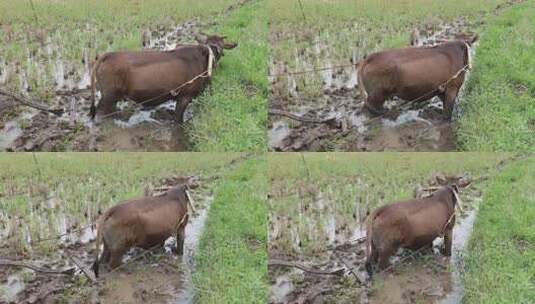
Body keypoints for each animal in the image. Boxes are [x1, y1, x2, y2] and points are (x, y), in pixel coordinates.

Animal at [89, 34, 237, 122]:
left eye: (221, 48)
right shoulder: (185, 96)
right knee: (101, 114)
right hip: (108, 96)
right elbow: (177, 119)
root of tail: (107, 55)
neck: (203, 58)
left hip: (112, 98)